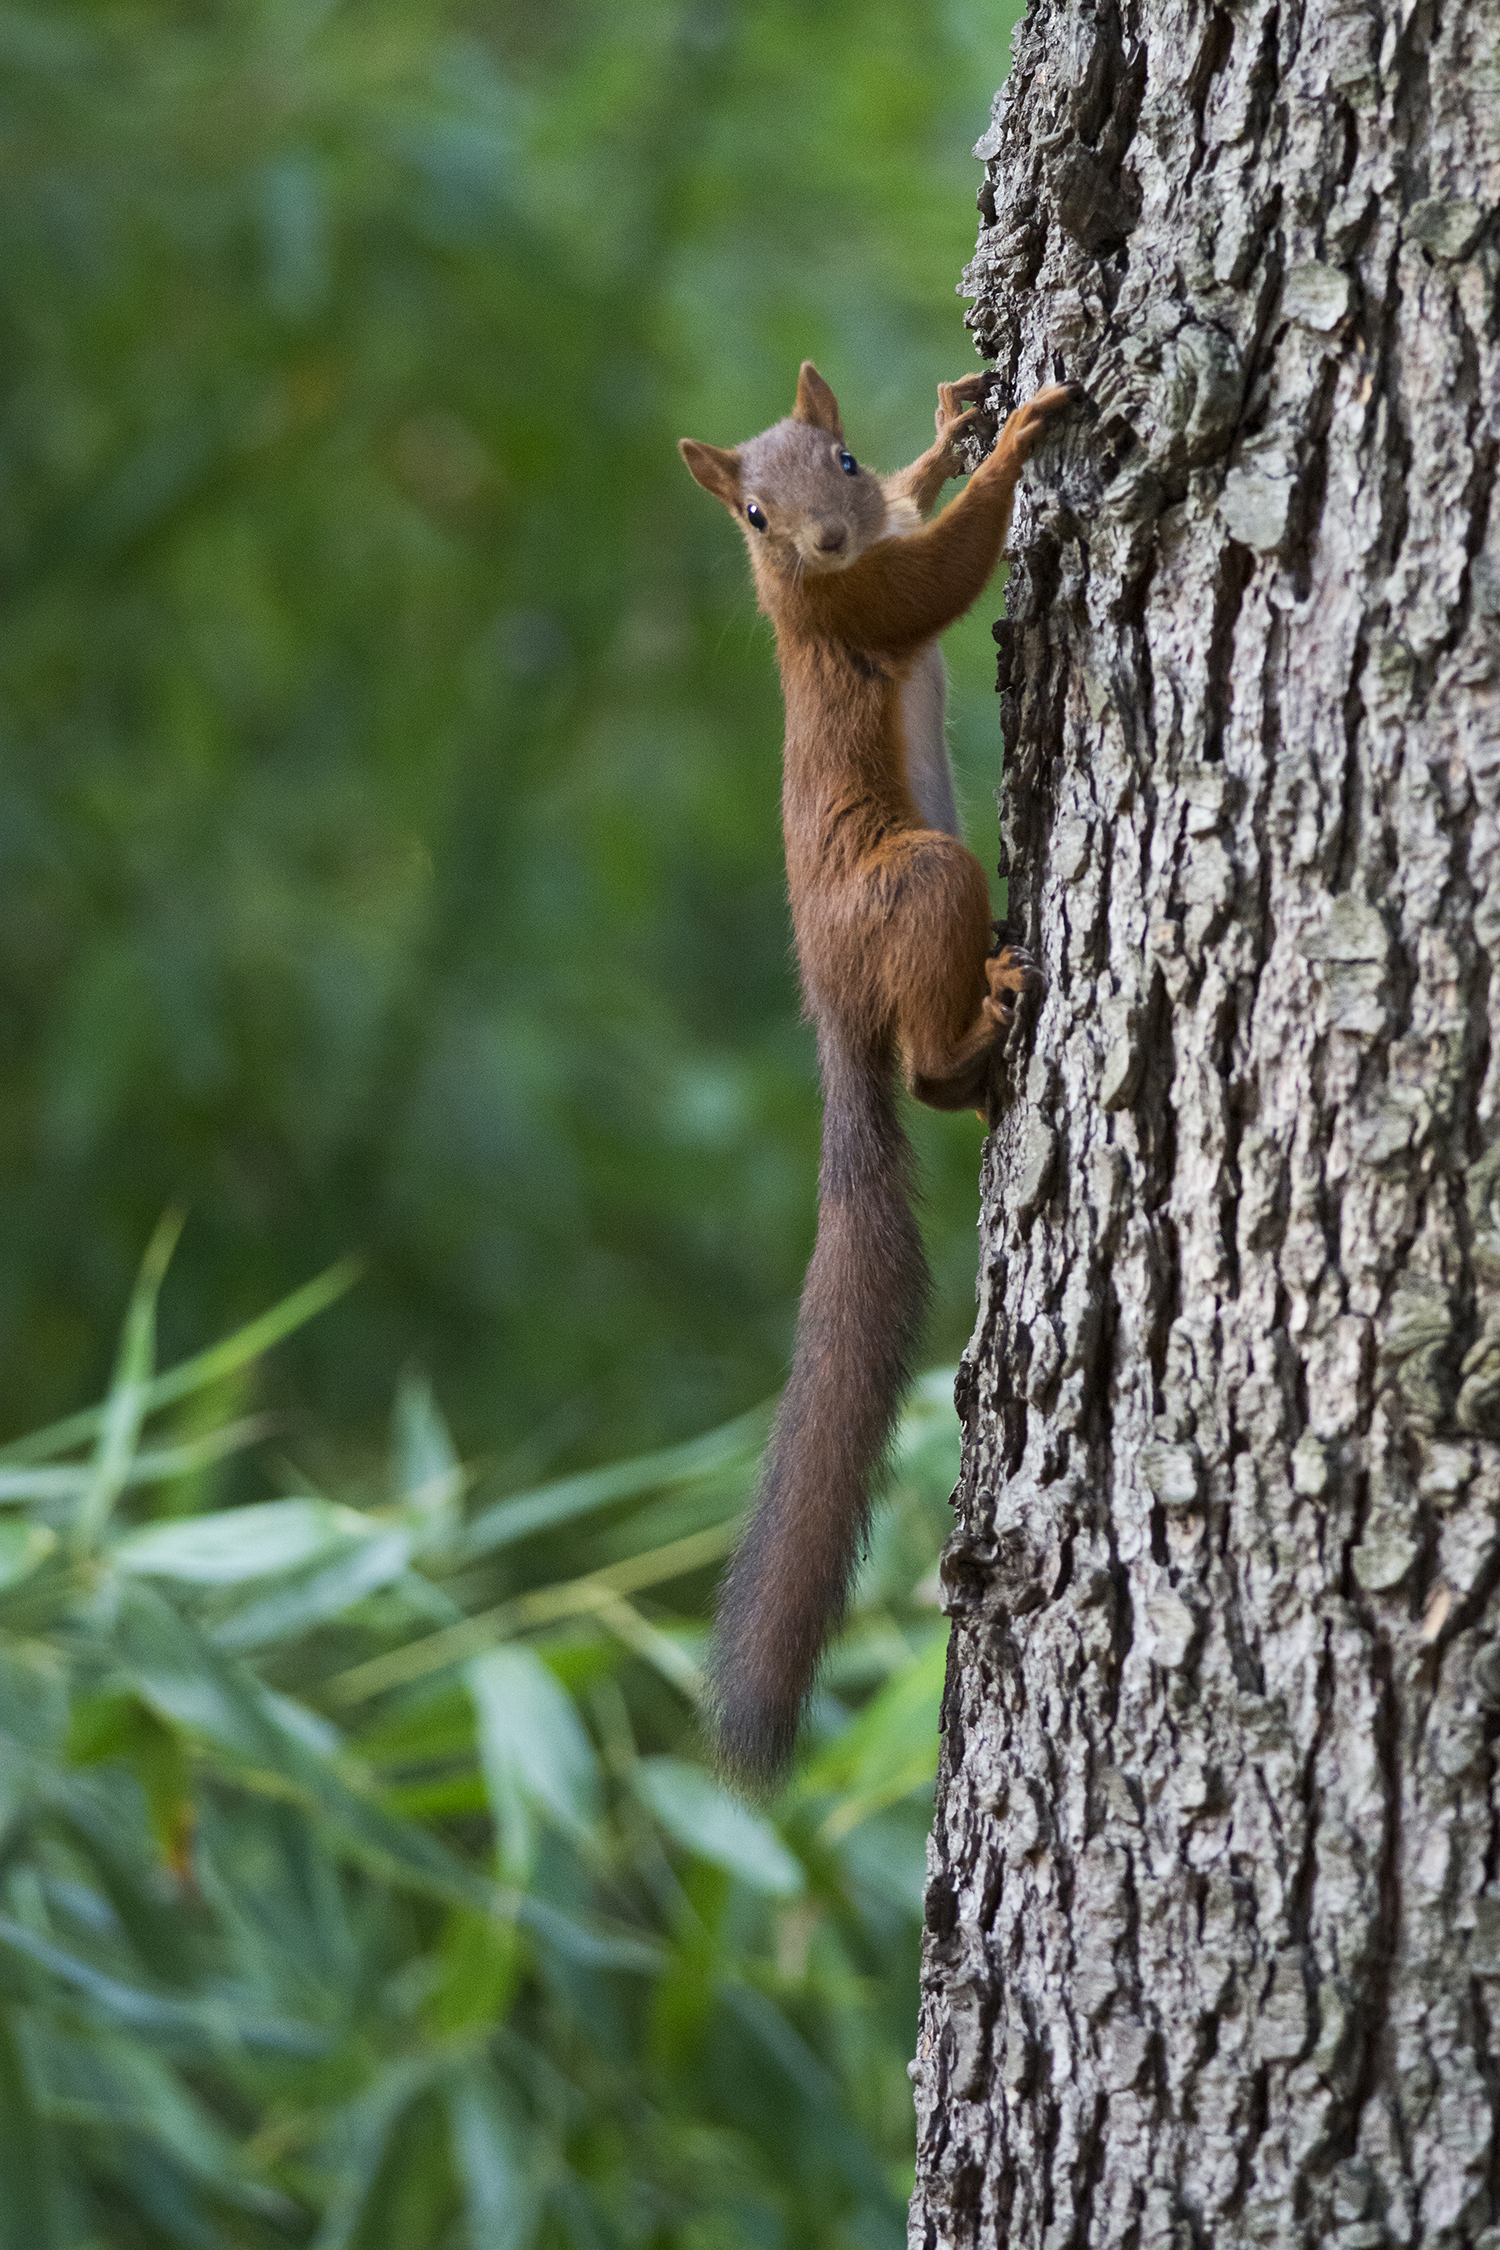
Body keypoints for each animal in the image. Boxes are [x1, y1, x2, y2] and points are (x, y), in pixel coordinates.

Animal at [679, 362, 1075, 1785]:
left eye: (841, 459)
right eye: (751, 514)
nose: (828, 538)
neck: (803, 584)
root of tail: (834, 1015)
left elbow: (920, 513)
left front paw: (957, 427)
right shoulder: (858, 607)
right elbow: (941, 576)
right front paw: (1022, 438)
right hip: (922, 881)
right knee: (923, 1069)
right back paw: (983, 1023)